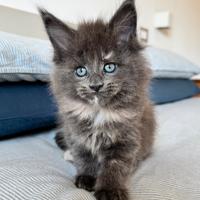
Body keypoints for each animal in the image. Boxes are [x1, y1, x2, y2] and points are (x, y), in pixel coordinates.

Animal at [38, 0, 155, 199]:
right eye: (81, 71)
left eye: (109, 67)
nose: (95, 86)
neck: (98, 112)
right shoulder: (76, 133)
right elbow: (84, 156)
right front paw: (87, 177)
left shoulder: (127, 138)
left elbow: (115, 165)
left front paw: (110, 189)